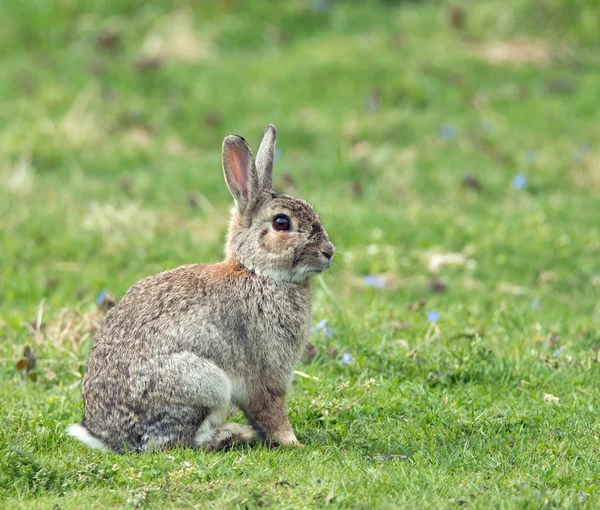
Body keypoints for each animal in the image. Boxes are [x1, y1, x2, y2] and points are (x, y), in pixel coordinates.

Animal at [69, 125, 338, 452]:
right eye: (282, 223)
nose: (329, 251)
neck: (257, 272)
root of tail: (108, 438)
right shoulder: (266, 374)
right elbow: (271, 413)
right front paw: (294, 443)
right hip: (202, 381)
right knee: (178, 441)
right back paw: (233, 434)